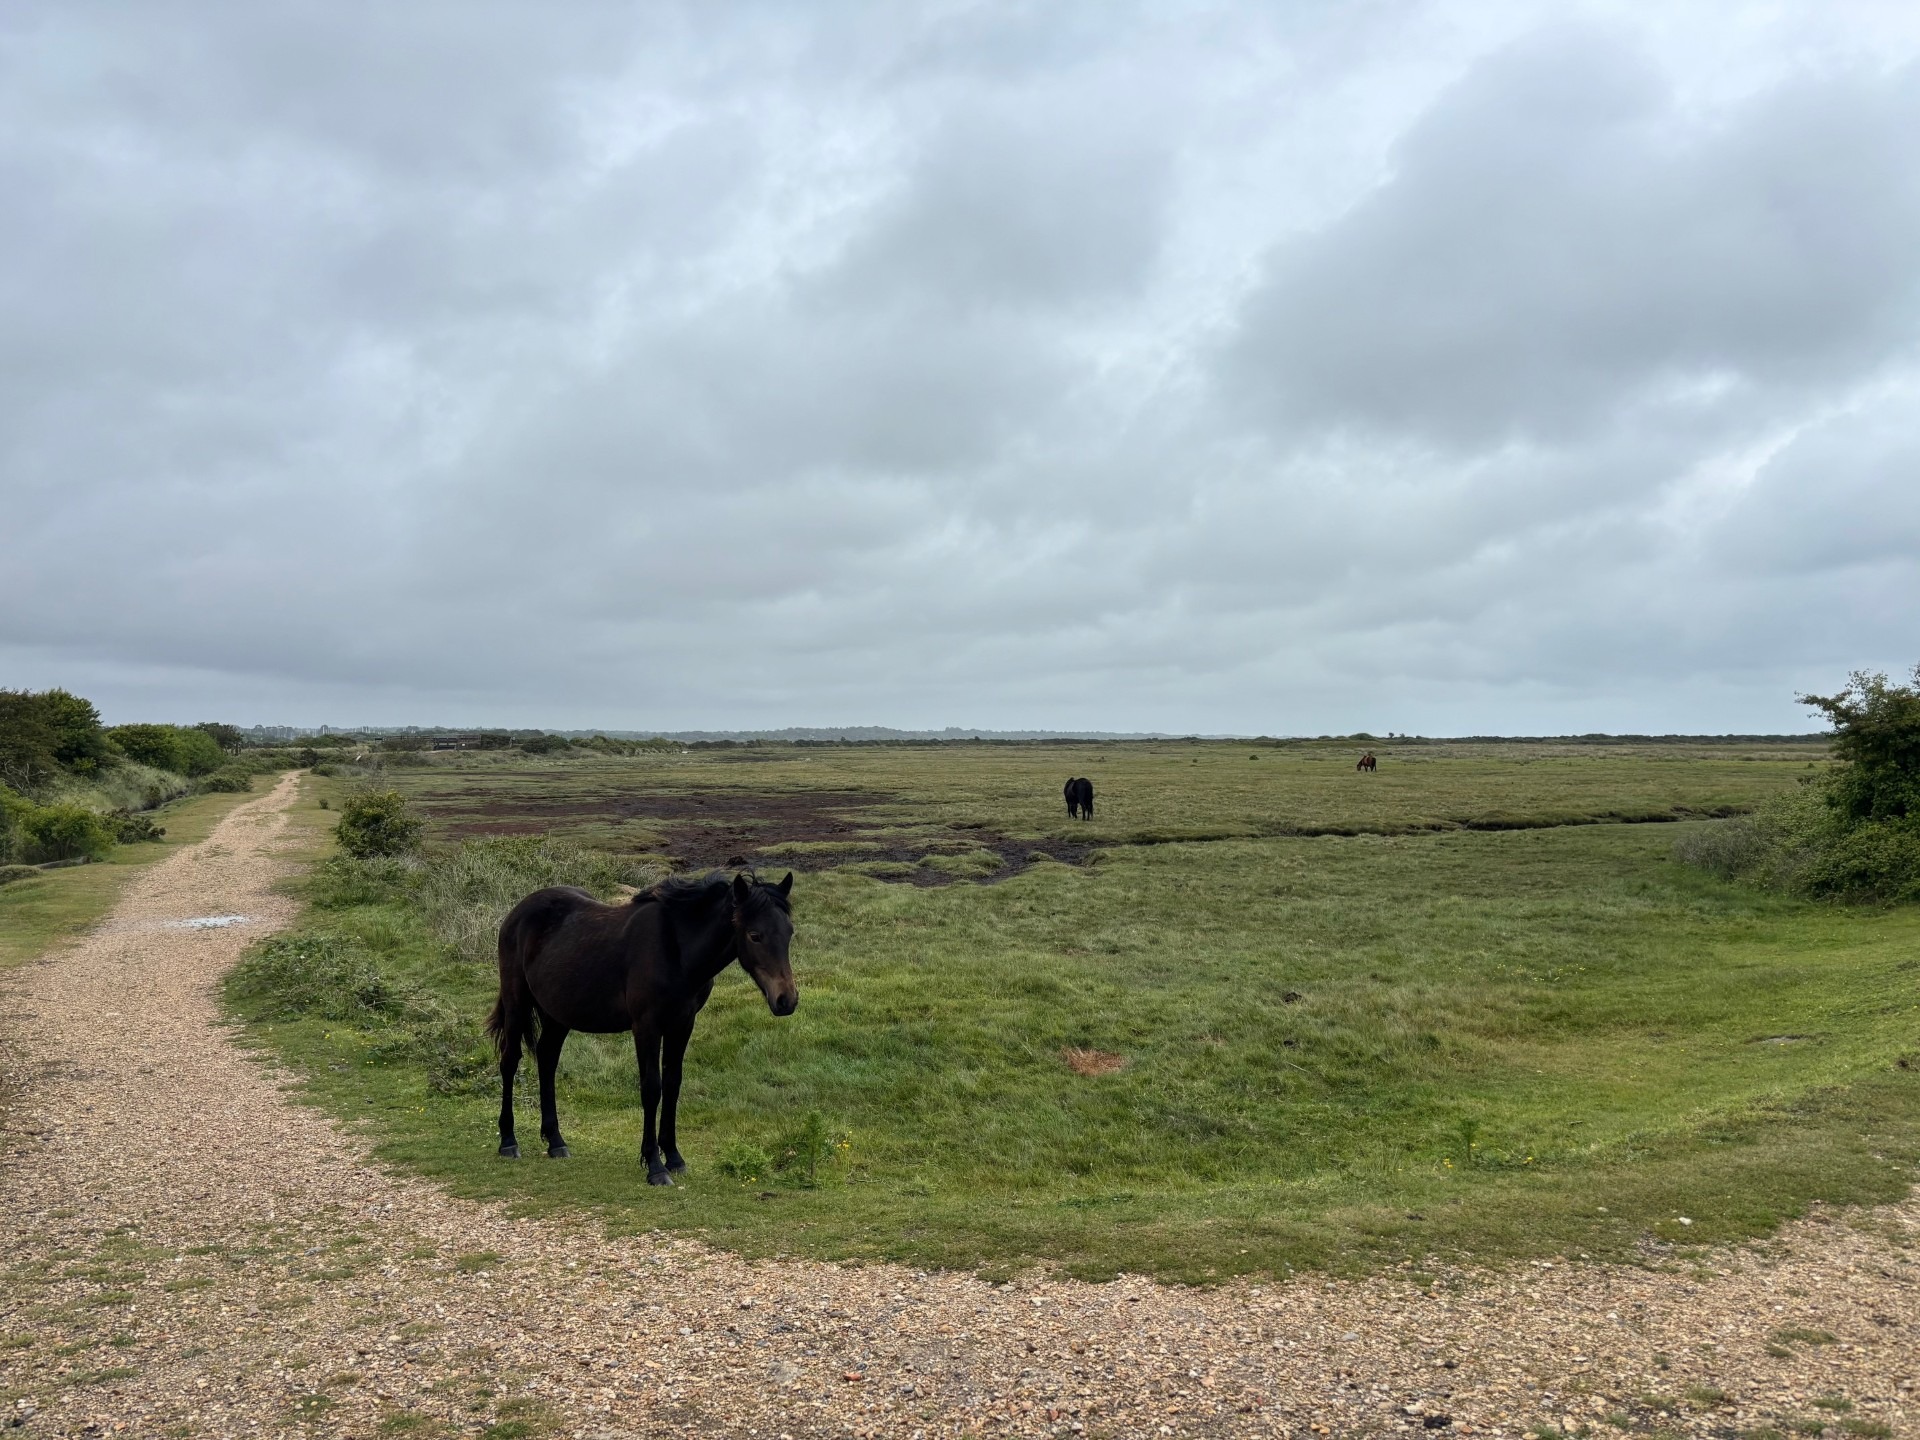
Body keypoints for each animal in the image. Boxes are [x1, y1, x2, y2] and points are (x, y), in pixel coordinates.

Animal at [488, 870, 797, 1186]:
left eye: (789, 932)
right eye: (755, 935)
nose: (786, 1000)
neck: (676, 950)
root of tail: (517, 912)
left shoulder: (682, 1023)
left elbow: (672, 1084)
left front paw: (673, 1157)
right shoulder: (646, 1026)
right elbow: (651, 1088)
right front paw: (655, 1165)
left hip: (558, 1014)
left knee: (547, 1059)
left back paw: (556, 1141)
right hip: (517, 1003)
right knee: (510, 1061)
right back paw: (508, 1141)